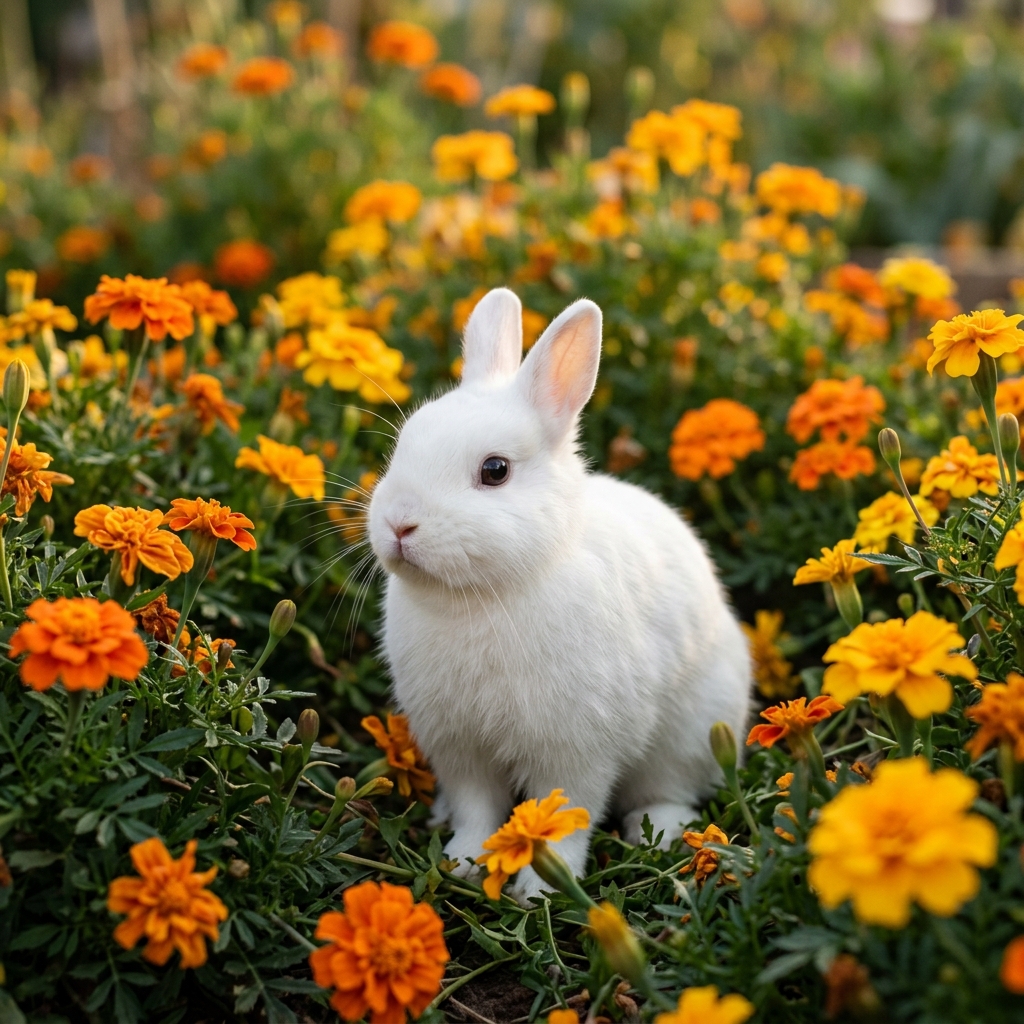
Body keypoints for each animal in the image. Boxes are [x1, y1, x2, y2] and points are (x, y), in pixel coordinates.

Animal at [367, 287, 751, 905]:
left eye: (495, 470)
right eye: (404, 446)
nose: (399, 525)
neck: (484, 594)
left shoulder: (577, 746)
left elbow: (568, 814)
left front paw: (540, 890)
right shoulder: (459, 747)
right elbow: (477, 808)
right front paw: (462, 861)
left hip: (692, 733)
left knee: (670, 790)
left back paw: (661, 833)